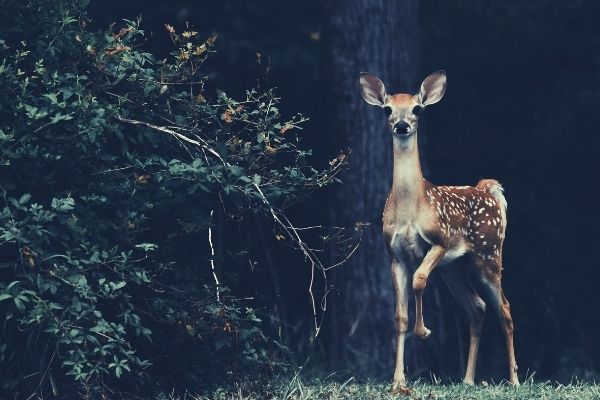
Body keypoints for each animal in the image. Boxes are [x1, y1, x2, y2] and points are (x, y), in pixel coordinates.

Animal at [358, 70, 516, 392]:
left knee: (505, 309)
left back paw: (515, 380)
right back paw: (467, 379)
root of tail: (489, 190)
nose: (402, 125)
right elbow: (399, 316)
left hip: (489, 254)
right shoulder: (394, 255)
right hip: (453, 269)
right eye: (387, 109)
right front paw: (398, 381)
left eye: (417, 108)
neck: (410, 207)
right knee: (477, 307)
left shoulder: (439, 241)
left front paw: (424, 331)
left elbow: (419, 280)